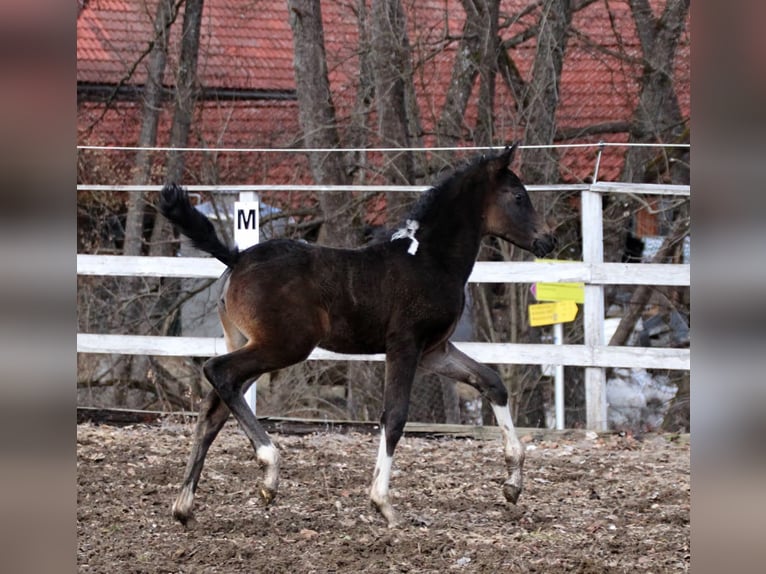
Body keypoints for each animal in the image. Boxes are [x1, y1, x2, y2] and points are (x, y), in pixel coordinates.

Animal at [159, 144, 556, 527]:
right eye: (518, 196)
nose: (548, 241)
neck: (429, 260)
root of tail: (236, 258)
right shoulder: (405, 345)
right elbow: (394, 417)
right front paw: (384, 505)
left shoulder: (435, 350)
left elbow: (491, 382)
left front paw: (513, 484)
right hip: (284, 346)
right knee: (218, 372)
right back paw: (269, 471)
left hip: (252, 343)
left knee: (214, 409)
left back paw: (184, 507)